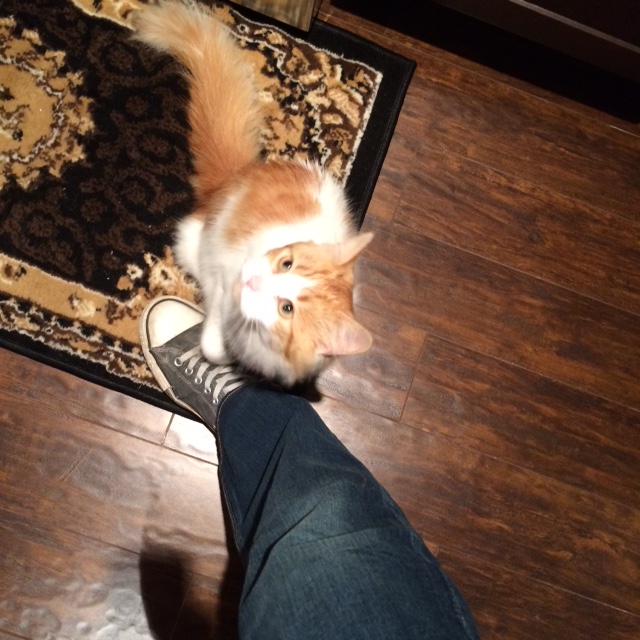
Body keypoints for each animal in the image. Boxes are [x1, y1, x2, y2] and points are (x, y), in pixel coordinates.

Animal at [134, 0, 373, 386]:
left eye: (286, 309)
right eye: (286, 262)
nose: (254, 279)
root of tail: (237, 175)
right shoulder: (222, 283)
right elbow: (213, 345)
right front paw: (216, 351)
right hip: (193, 244)